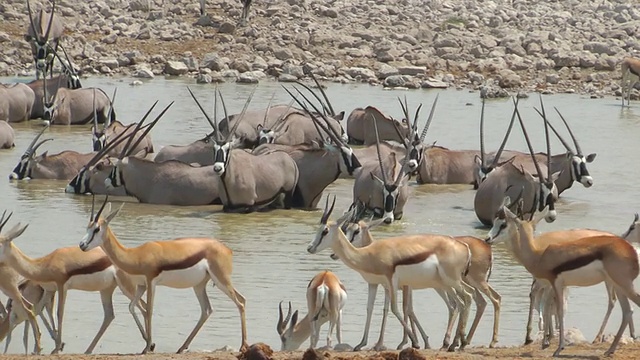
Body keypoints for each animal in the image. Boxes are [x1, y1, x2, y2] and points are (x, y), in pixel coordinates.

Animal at [79, 195, 248, 352]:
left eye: (97, 229)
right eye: (87, 227)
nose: (82, 245)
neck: (135, 255)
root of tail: (226, 249)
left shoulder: (151, 282)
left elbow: (149, 310)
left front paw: (148, 347)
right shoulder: (142, 285)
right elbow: (132, 307)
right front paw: (147, 344)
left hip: (221, 280)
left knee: (240, 302)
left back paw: (243, 346)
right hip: (200, 285)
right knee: (208, 309)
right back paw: (181, 348)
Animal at [308, 197, 472, 352]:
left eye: (325, 231)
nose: (310, 248)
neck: (367, 254)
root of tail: (464, 247)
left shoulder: (392, 281)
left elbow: (395, 308)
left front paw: (414, 343)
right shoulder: (375, 283)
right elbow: (370, 308)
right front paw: (361, 344)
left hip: (451, 282)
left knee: (466, 298)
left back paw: (454, 343)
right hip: (446, 283)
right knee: (461, 302)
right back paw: (456, 343)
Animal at [484, 200, 640, 358]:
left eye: (503, 224)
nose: (487, 239)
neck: (539, 255)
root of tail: (632, 250)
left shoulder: (555, 283)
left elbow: (558, 310)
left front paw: (557, 348)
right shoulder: (552, 285)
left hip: (622, 285)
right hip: (618, 286)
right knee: (627, 311)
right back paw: (610, 350)